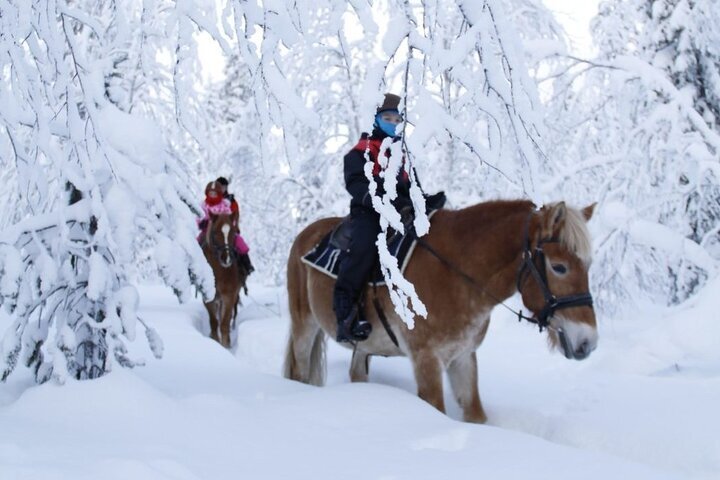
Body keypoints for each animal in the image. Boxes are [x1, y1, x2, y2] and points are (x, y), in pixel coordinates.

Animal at [201, 216, 249, 346]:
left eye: (233, 232)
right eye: (215, 232)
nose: (227, 258)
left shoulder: (229, 295)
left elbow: (224, 323)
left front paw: (225, 345)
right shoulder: (208, 297)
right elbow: (214, 322)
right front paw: (215, 340)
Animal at [284, 199, 600, 424]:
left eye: (588, 265)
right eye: (559, 267)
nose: (588, 342)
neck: (456, 271)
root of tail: (304, 236)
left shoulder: (463, 356)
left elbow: (475, 414)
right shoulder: (427, 359)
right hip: (304, 326)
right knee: (299, 371)